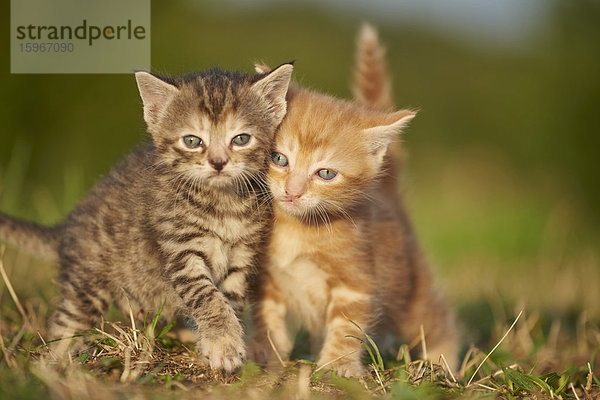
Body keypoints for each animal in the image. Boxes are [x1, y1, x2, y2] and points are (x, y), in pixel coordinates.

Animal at [0, 63, 292, 372]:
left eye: (241, 139)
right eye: (192, 141)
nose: (218, 162)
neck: (223, 204)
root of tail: (68, 224)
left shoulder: (241, 256)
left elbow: (230, 300)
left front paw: (220, 342)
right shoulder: (181, 251)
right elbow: (207, 295)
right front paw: (223, 343)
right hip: (88, 284)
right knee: (66, 324)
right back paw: (55, 360)